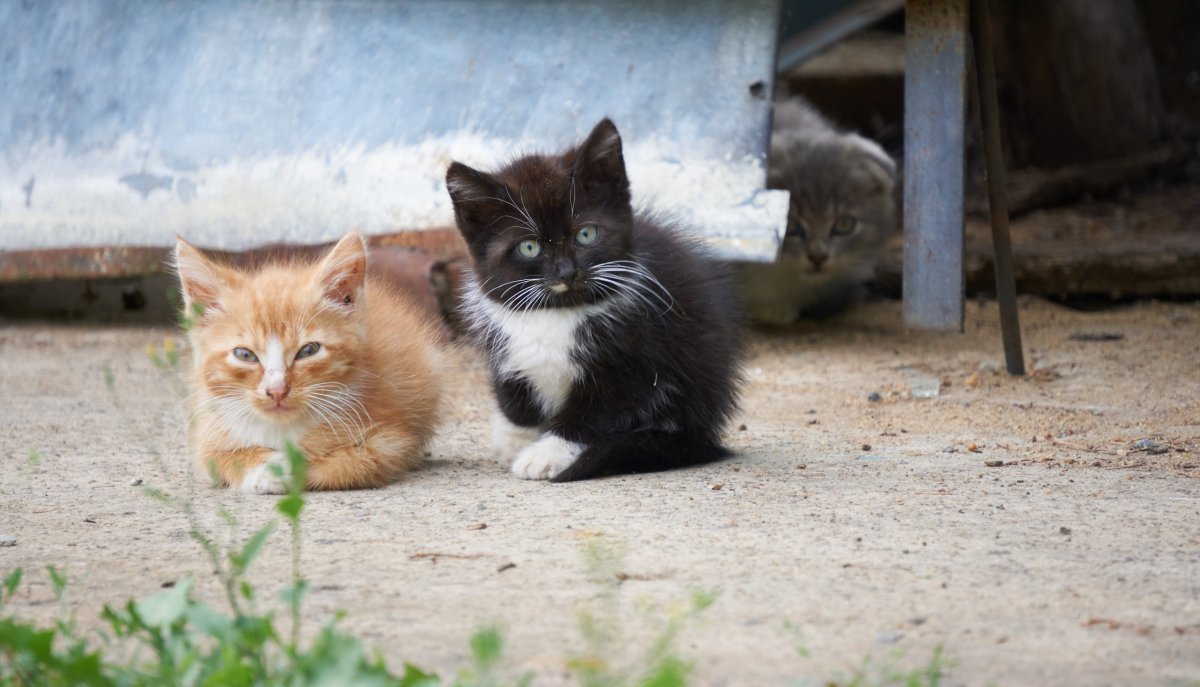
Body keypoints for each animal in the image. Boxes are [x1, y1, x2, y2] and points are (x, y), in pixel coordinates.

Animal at [174, 233, 441, 490]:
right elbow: (215, 458)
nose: (277, 391)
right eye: (244, 355)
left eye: (308, 351)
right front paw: (264, 468)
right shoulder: (209, 432)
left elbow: (345, 466)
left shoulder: (389, 441)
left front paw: (291, 466)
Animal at [446, 118, 739, 482]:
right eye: (529, 247)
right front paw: (517, 440)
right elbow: (513, 393)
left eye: (586, 234)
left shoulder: (637, 354)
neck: (556, 314)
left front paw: (546, 453)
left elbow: (593, 411)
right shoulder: (501, 341)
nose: (567, 272)